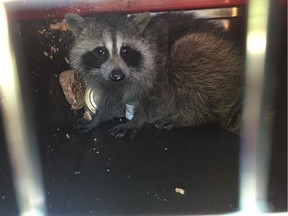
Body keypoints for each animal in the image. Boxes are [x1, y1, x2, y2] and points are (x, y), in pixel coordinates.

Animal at [66, 11, 245, 139]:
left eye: (125, 50)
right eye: (101, 51)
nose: (117, 75)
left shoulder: (157, 68)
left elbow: (153, 98)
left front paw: (137, 119)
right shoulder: (110, 80)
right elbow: (112, 98)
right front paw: (98, 118)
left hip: (210, 58)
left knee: (186, 59)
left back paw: (187, 116)